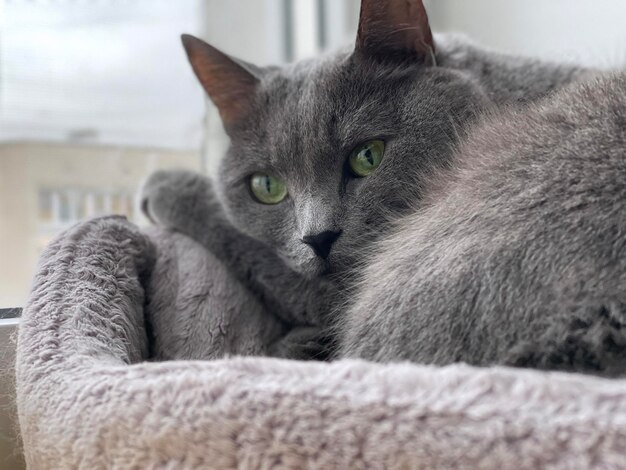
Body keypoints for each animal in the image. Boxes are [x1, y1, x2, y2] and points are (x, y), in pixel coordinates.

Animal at [141, 0, 624, 374]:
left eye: (368, 156)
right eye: (266, 186)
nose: (318, 238)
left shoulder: (347, 288)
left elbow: (252, 249)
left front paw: (165, 185)